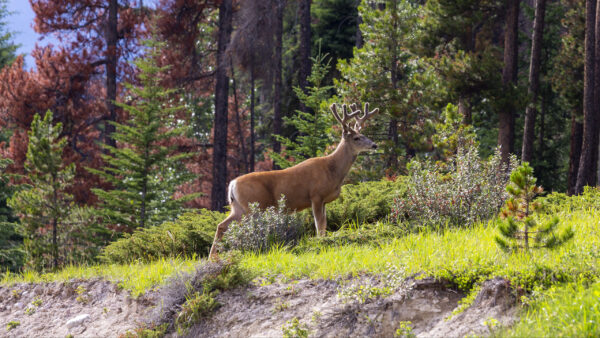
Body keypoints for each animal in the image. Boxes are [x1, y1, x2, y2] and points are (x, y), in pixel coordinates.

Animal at [210, 101, 380, 258]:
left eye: (364, 135)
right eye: (357, 138)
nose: (374, 145)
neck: (333, 170)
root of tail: (232, 184)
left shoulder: (324, 201)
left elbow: (324, 224)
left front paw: (323, 241)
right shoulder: (316, 195)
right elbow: (319, 224)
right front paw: (321, 243)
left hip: (238, 207)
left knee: (221, 225)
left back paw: (212, 257)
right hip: (253, 206)